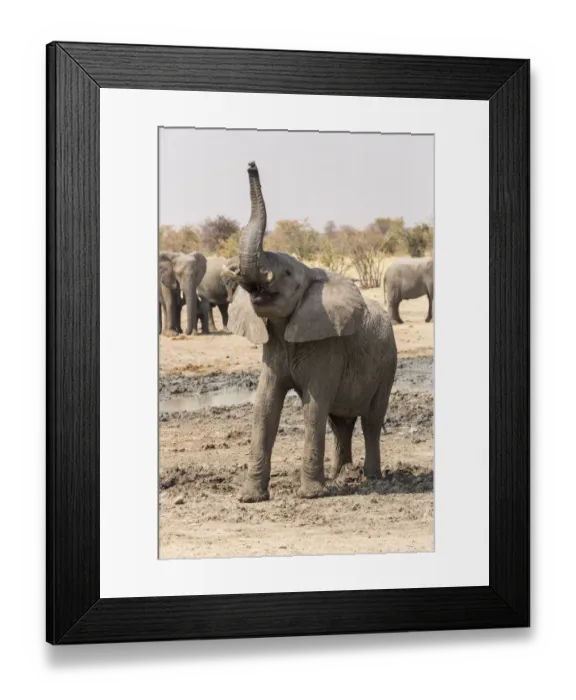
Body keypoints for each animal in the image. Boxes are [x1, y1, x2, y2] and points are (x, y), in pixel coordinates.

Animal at [222, 161, 398, 503]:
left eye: (288, 273)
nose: (251, 164)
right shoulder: (273, 347)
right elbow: (264, 407)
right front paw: (250, 498)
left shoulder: (326, 344)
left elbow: (314, 407)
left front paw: (310, 495)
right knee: (340, 422)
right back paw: (340, 476)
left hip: (388, 364)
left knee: (371, 420)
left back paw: (370, 477)